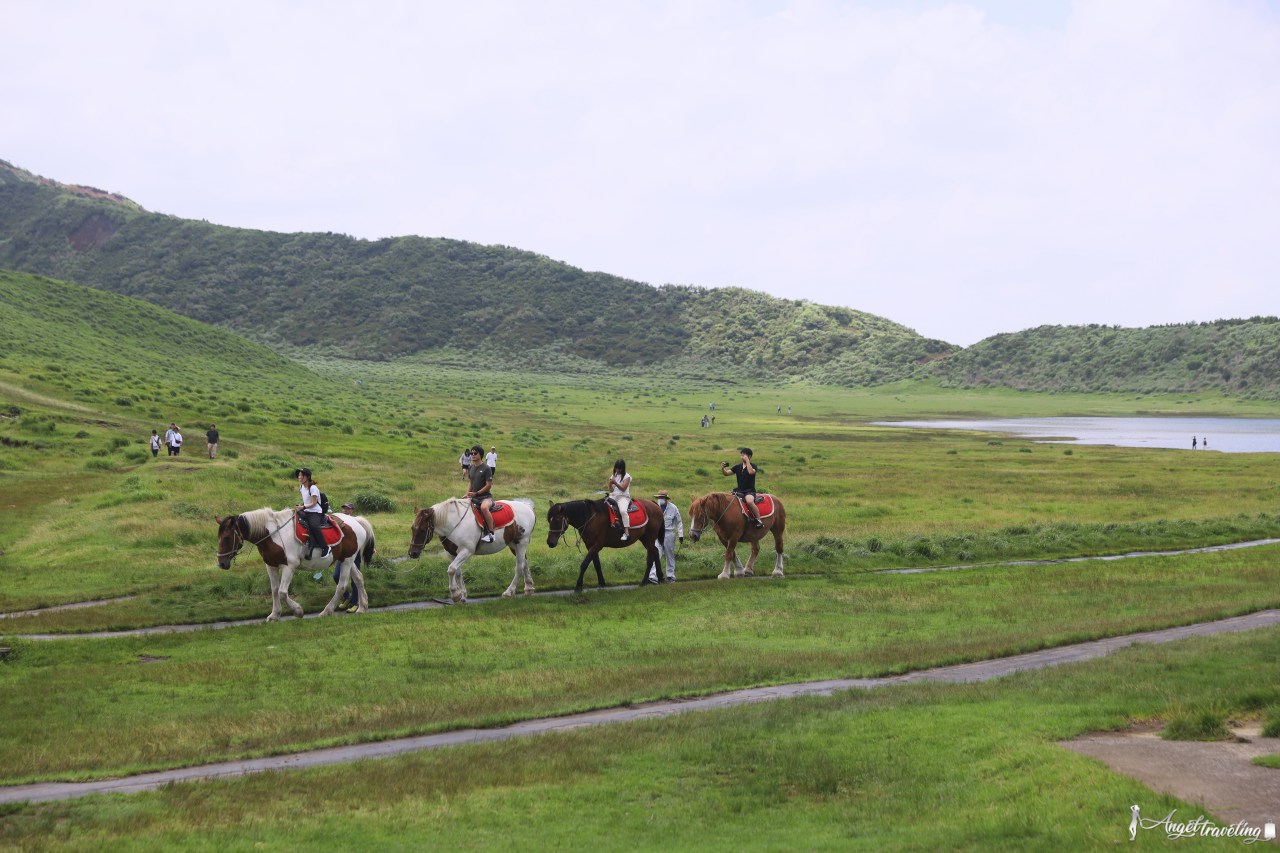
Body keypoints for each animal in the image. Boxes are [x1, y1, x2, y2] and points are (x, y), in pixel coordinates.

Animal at [215, 504, 373, 617]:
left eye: (227, 538)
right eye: (219, 537)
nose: (221, 563)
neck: (273, 534)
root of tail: (356, 520)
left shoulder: (289, 566)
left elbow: (282, 592)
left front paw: (297, 611)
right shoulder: (271, 565)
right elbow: (274, 589)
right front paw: (274, 615)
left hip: (347, 560)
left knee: (342, 585)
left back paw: (326, 611)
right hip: (346, 559)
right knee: (358, 578)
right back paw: (362, 607)